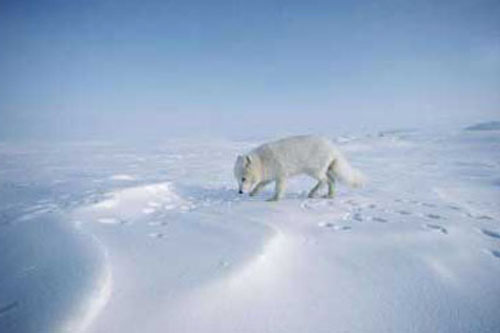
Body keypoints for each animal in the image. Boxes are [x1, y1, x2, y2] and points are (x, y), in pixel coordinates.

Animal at [232, 134, 366, 200]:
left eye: (243, 178)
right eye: (238, 180)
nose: (240, 192)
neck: (262, 161)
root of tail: (332, 148)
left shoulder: (281, 176)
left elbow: (279, 189)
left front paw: (274, 199)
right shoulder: (269, 176)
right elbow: (260, 185)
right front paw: (253, 193)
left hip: (314, 171)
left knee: (324, 180)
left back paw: (312, 193)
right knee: (332, 181)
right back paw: (329, 196)